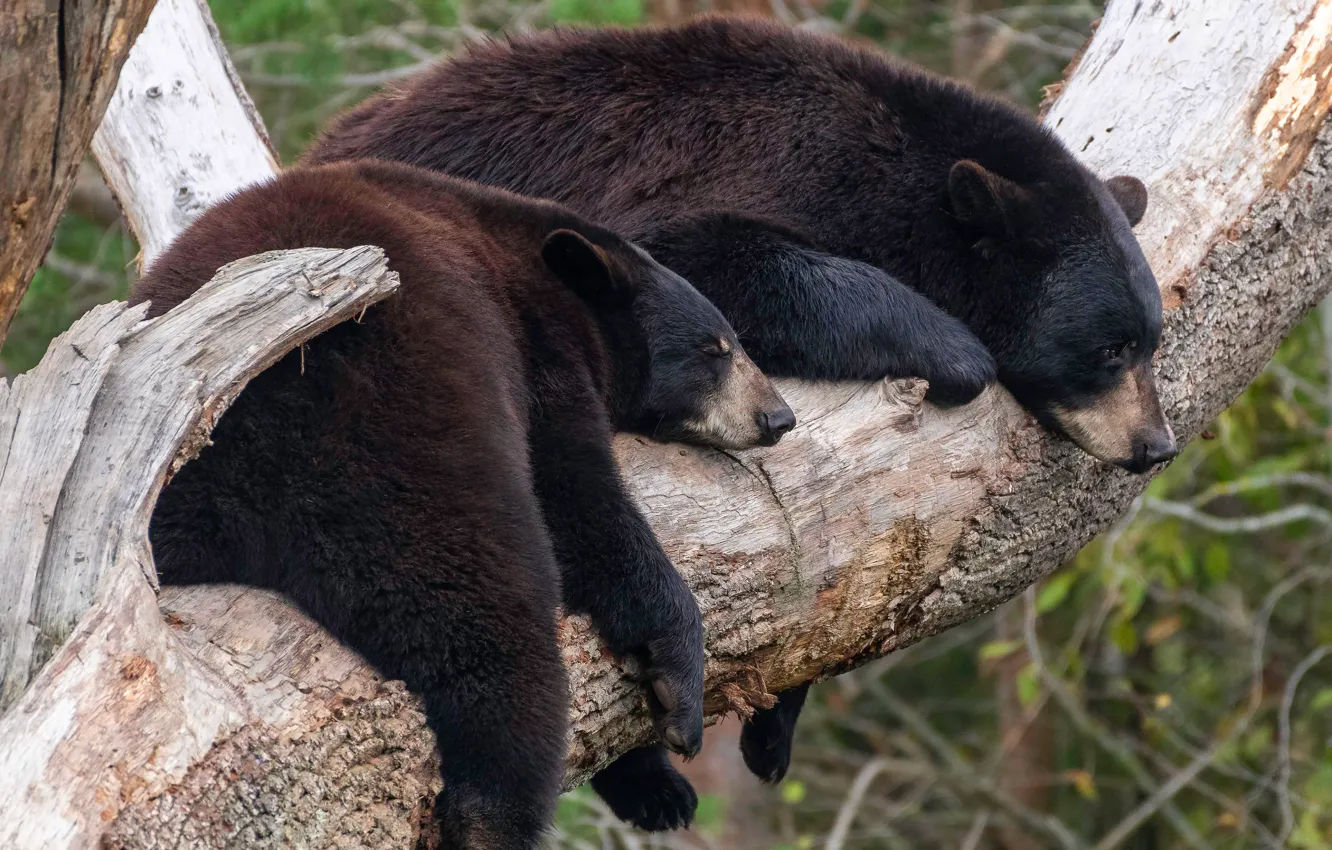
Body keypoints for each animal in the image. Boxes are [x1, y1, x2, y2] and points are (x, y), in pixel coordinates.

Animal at [131, 158, 795, 847]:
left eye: (734, 341)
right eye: (714, 349)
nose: (778, 416)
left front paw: (655, 787)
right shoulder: (541, 351)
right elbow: (583, 503)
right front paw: (678, 684)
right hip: (407, 451)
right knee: (494, 623)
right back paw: (495, 814)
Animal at [302, 16, 1180, 786]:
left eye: (1151, 339)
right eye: (1110, 348)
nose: (1156, 444)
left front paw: (774, 729)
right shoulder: (710, 174)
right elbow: (707, 259)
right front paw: (954, 347)